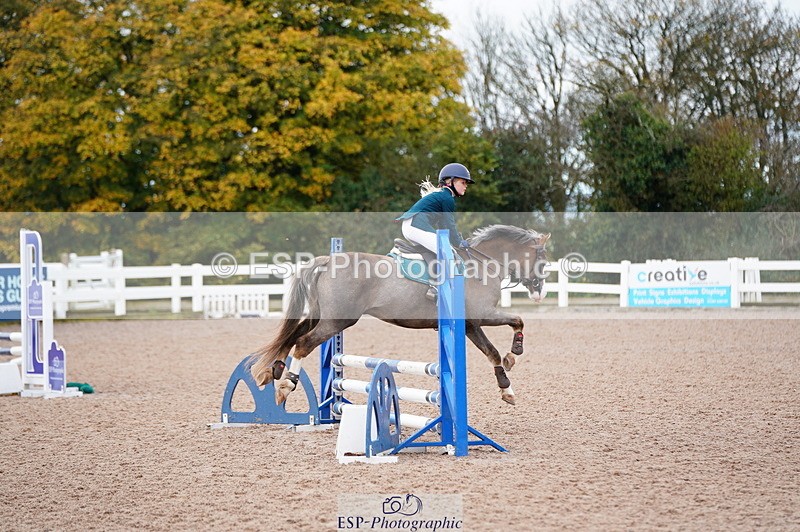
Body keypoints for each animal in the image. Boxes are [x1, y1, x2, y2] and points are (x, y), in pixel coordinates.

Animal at [250, 224, 550, 406]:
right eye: (543, 260)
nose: (539, 292)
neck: (481, 265)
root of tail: (327, 260)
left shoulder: (471, 324)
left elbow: (492, 352)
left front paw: (507, 384)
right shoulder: (481, 315)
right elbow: (515, 323)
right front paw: (515, 356)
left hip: (321, 315)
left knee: (292, 336)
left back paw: (272, 372)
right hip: (337, 320)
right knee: (303, 343)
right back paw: (285, 385)